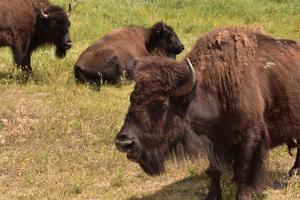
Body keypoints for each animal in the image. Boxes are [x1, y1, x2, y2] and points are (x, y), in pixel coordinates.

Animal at [115, 27, 300, 200]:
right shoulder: (213, 140)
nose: (123, 142)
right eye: (132, 97)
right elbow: (215, 169)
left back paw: (292, 173)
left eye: (162, 104)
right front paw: (213, 195)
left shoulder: (250, 137)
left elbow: (243, 171)